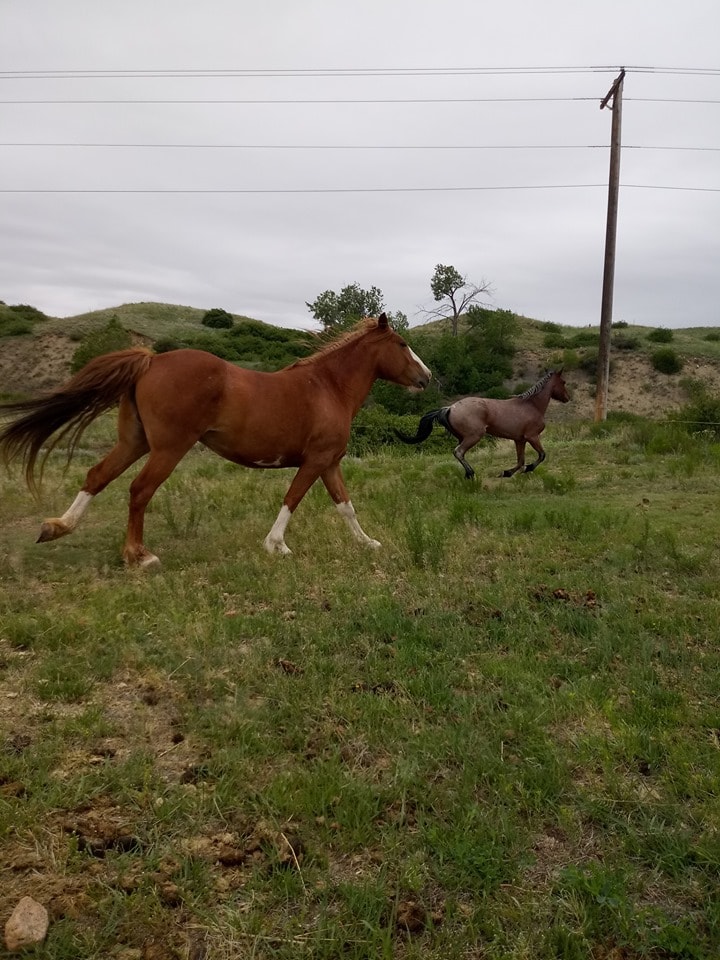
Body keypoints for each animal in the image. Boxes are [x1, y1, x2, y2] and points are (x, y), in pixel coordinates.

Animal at [0, 316, 428, 568]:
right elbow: (292, 500)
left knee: (97, 476)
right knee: (139, 490)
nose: (426, 377)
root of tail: (152, 360)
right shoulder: (315, 461)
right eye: (402, 344)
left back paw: (58, 527)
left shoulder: (330, 463)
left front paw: (368, 543)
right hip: (168, 449)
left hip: (134, 442)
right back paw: (139, 555)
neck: (328, 387)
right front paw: (276, 546)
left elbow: (346, 507)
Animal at [394, 374, 568, 484]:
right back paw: (471, 474)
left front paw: (506, 473)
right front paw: (527, 469)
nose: (567, 398)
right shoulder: (532, 436)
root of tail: (450, 408)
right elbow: (541, 455)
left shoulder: (519, 440)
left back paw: (467, 474)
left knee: (460, 453)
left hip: (463, 437)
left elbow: (520, 461)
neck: (532, 406)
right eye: (564, 382)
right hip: (474, 436)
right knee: (458, 452)